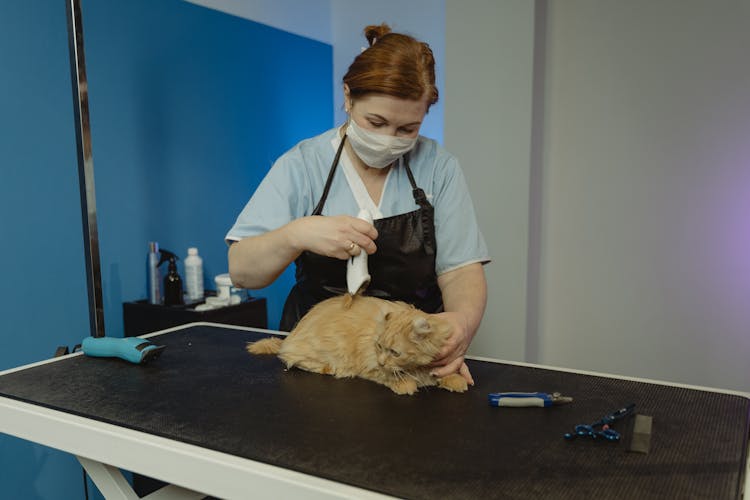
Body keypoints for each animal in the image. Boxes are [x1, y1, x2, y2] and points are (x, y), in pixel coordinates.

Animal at [248, 292, 470, 394]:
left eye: (395, 352)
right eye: (379, 347)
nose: (382, 361)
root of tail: (294, 332)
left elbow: (444, 372)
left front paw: (456, 379)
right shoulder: (371, 365)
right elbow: (389, 375)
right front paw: (405, 384)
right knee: (292, 359)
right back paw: (330, 369)